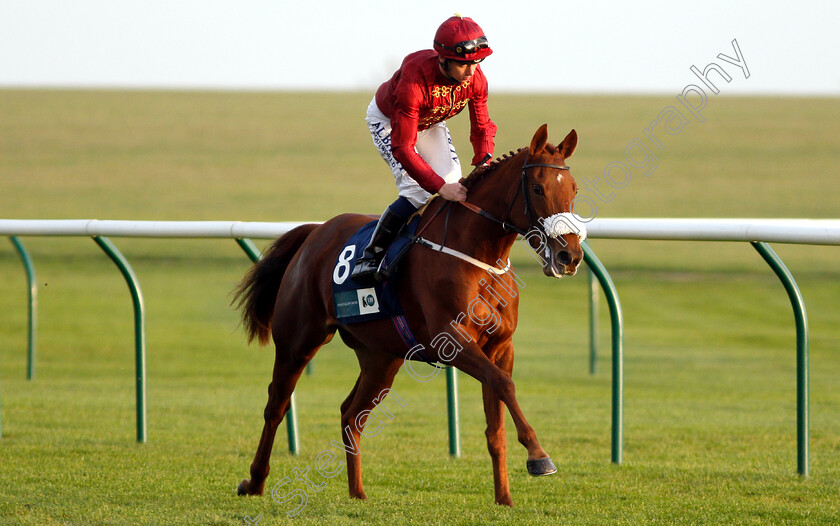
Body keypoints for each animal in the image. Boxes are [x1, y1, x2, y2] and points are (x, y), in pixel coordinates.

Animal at [231, 124, 584, 508]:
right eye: (537, 188)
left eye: (574, 189)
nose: (570, 256)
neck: (477, 255)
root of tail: (316, 232)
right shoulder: (452, 340)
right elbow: (505, 385)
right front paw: (538, 456)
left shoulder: (500, 347)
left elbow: (497, 422)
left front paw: (504, 497)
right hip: (298, 341)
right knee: (276, 406)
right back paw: (254, 481)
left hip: (381, 357)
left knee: (351, 415)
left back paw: (357, 492)